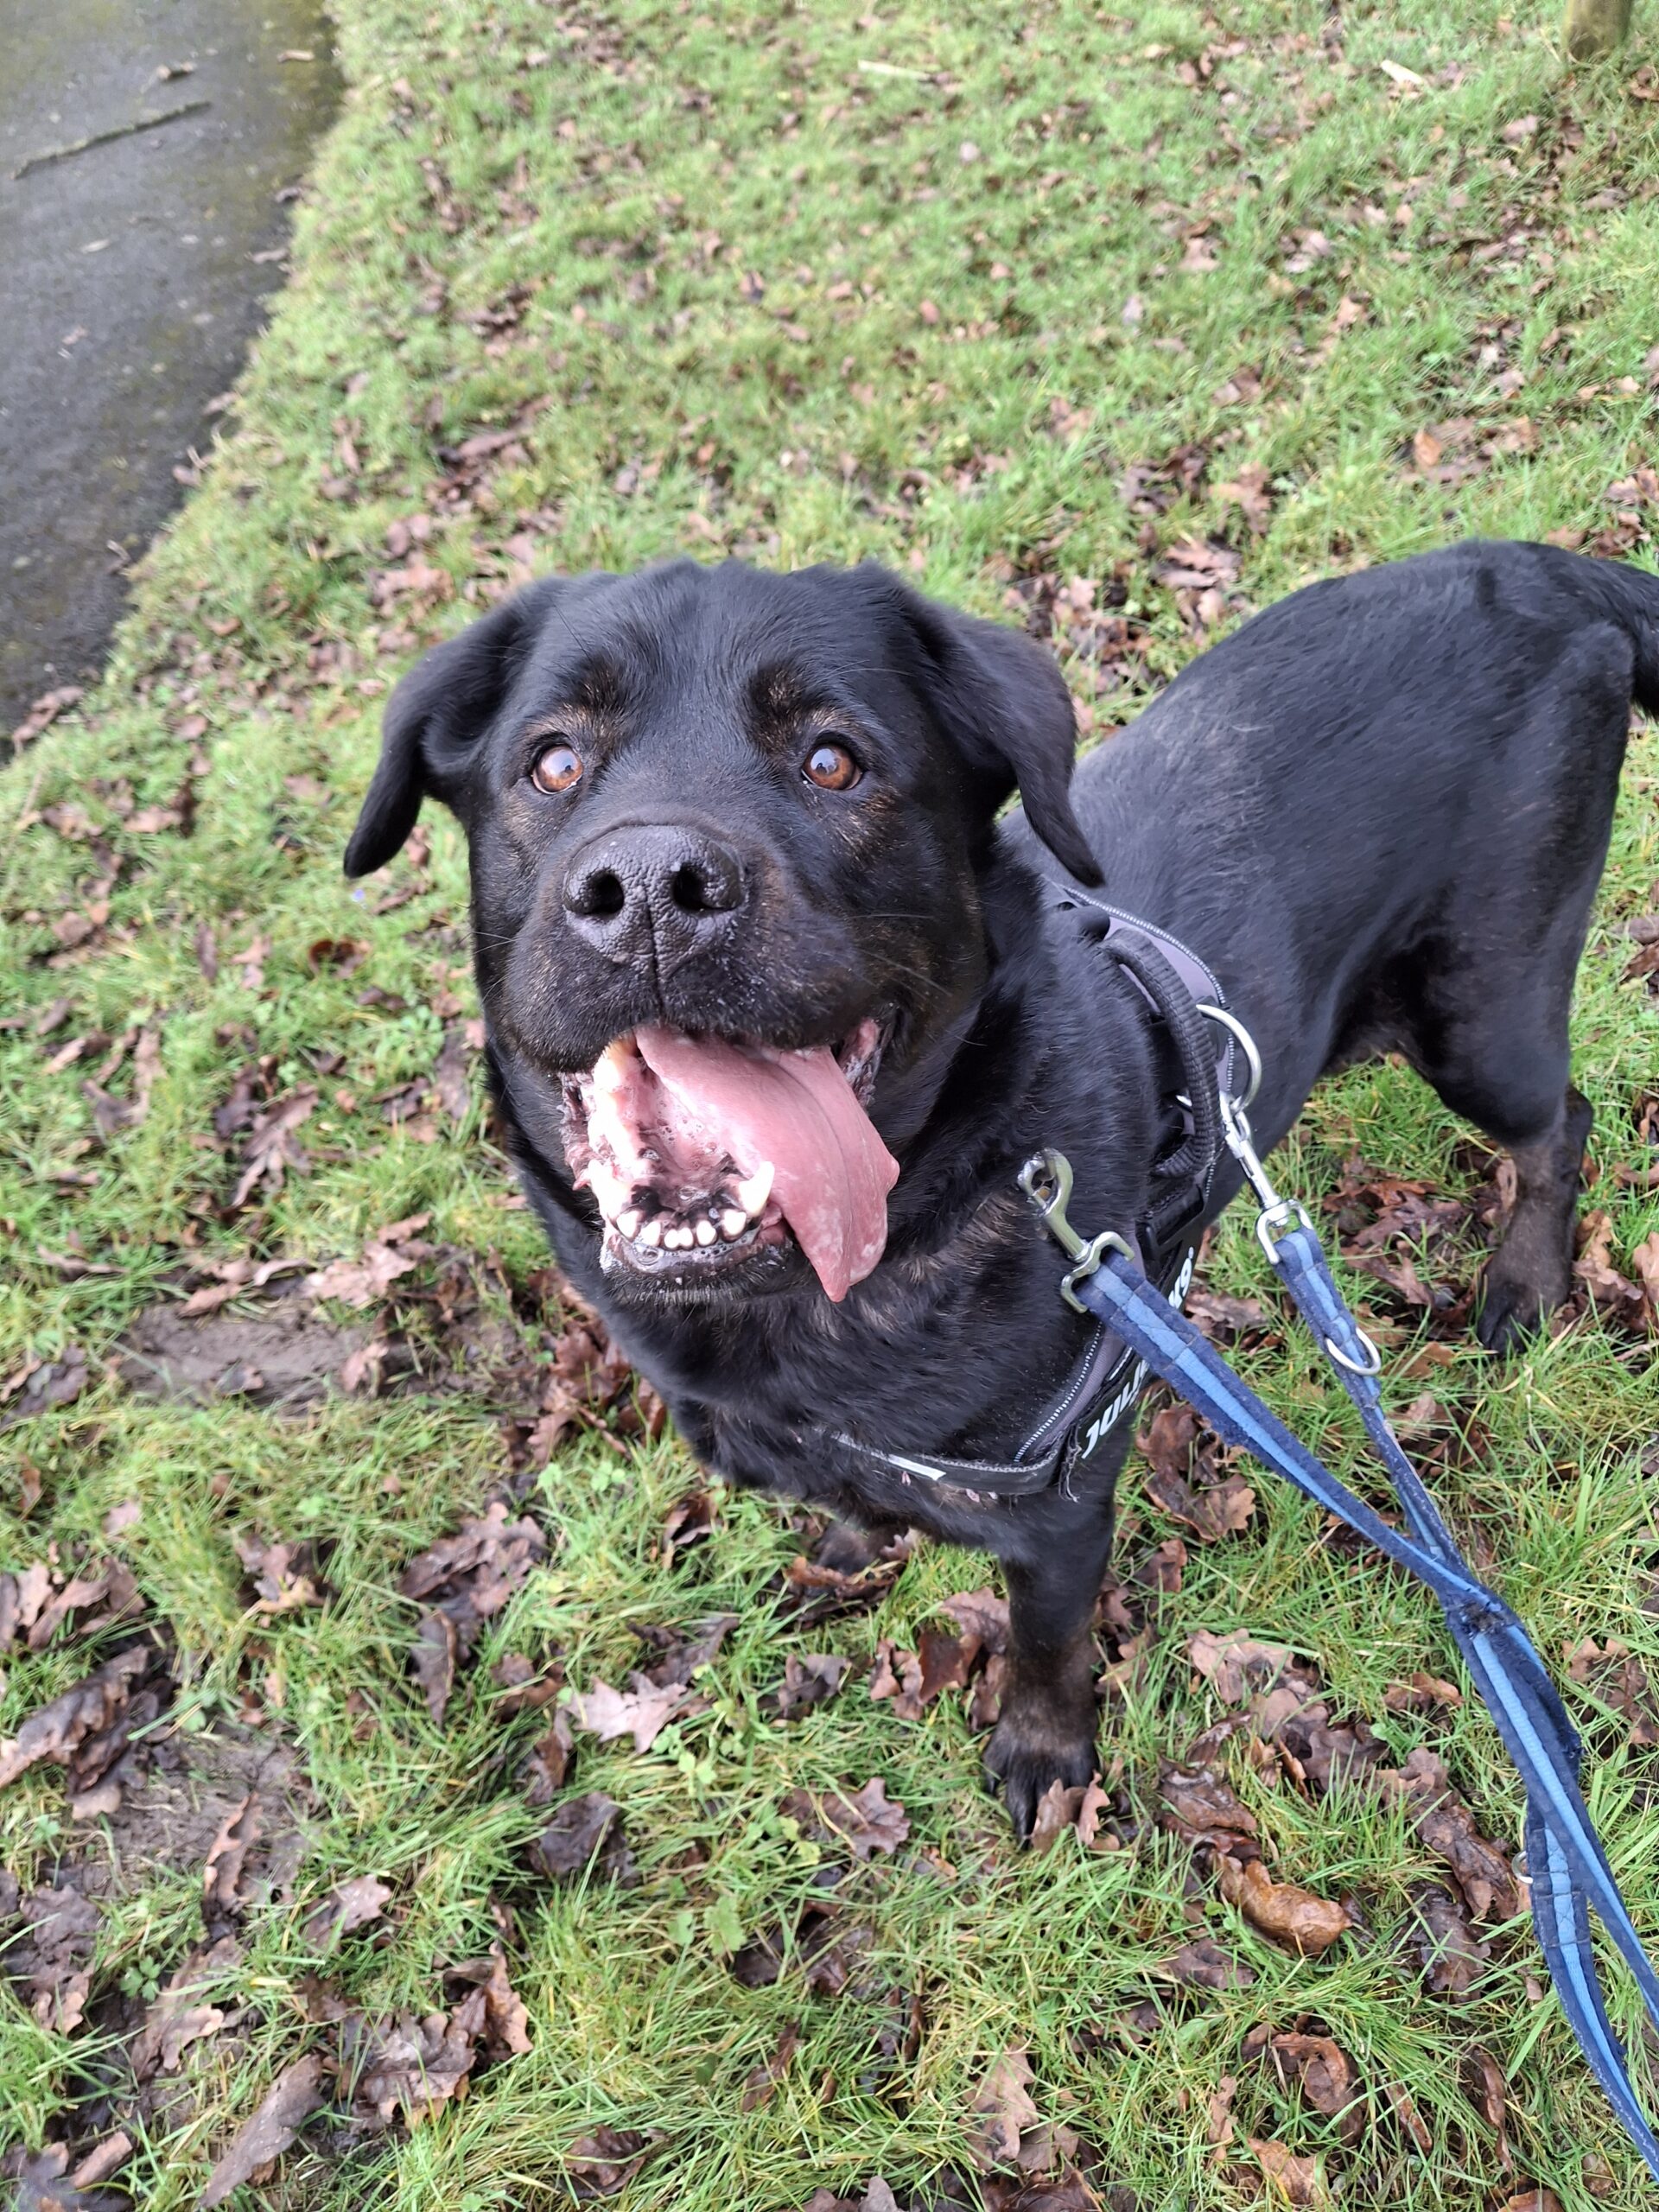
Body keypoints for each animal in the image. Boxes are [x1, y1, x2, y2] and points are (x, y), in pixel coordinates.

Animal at [345, 539, 1654, 1831]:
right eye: (553, 762)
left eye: (833, 759)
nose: (654, 887)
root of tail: (1537, 571)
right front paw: (849, 1542)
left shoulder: (1062, 1503)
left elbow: (1046, 1641)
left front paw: (1043, 1753)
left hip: (1483, 1018)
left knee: (1564, 1123)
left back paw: (1527, 1282)